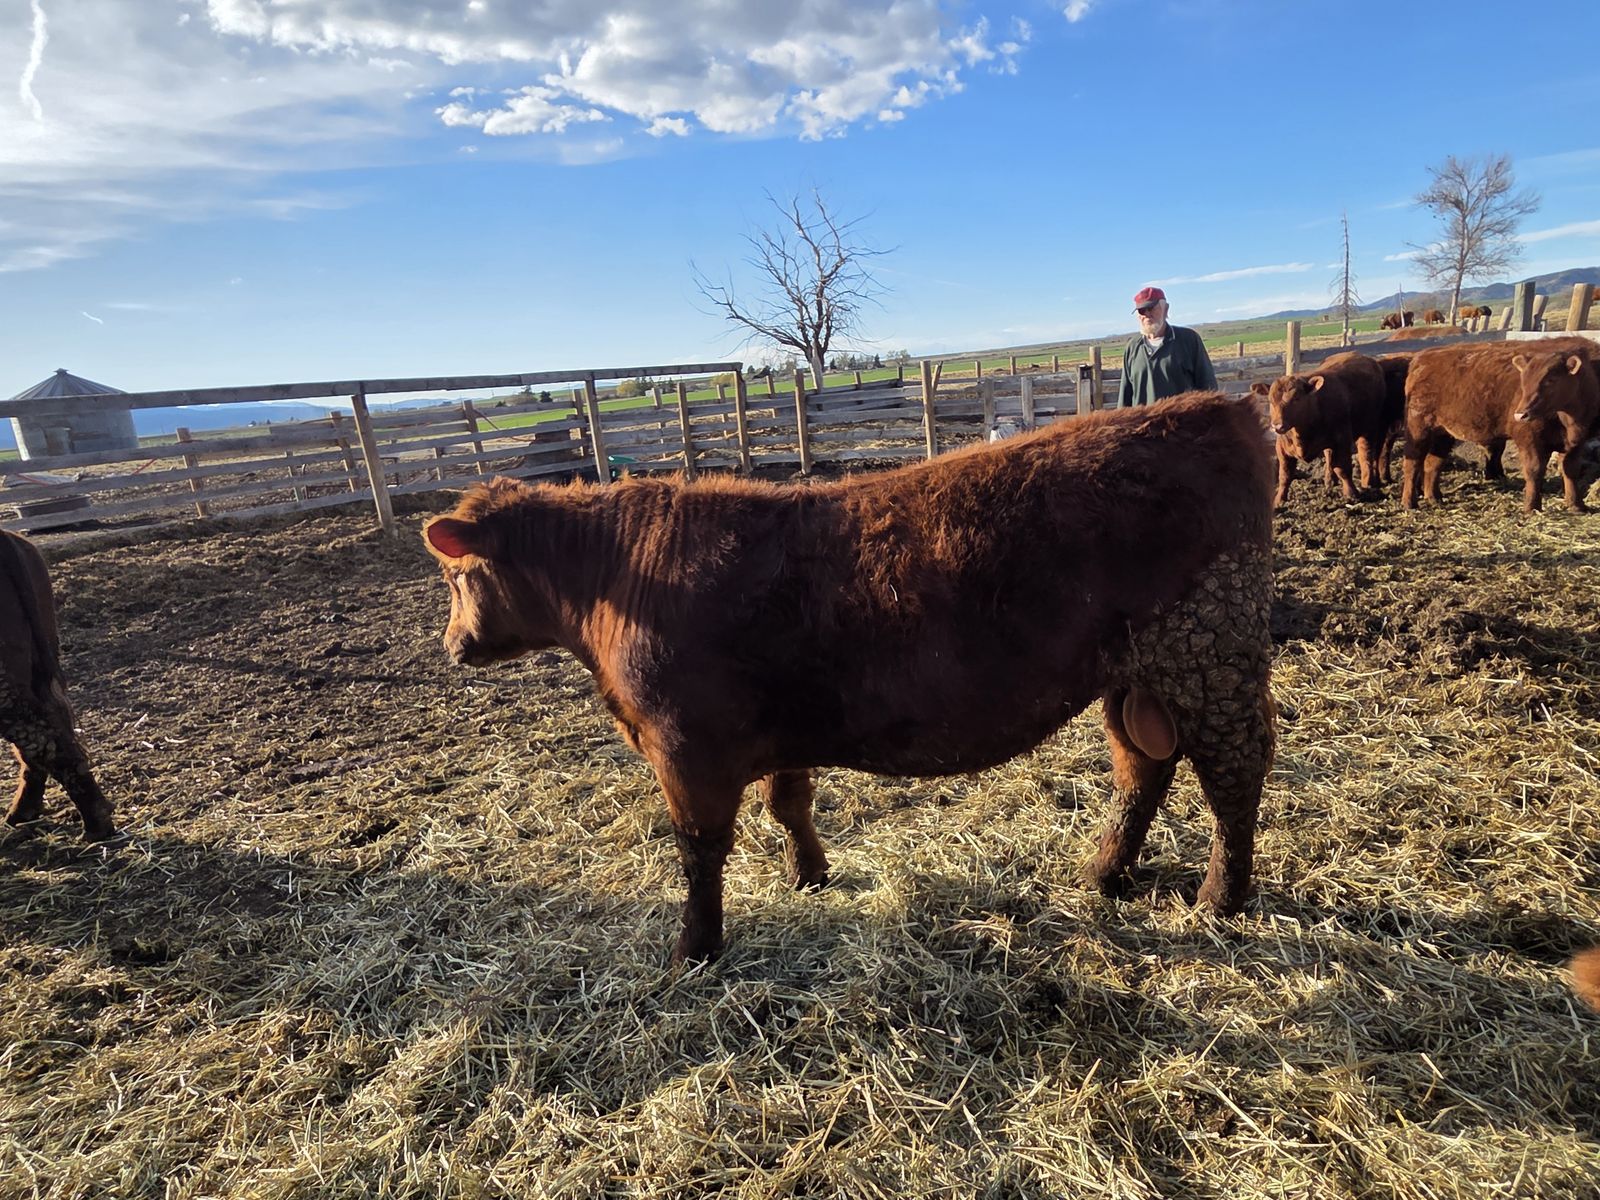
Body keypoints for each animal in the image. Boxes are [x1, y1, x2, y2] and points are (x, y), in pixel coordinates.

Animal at [424, 393, 1278, 963]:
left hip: (1210, 651)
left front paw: (695, 948)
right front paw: (810, 875)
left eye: (458, 576)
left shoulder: (686, 748)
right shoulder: (774, 735)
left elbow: (699, 850)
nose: (452, 646)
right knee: (1144, 769)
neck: (620, 582)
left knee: (1234, 773)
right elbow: (789, 806)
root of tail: (1217, 405)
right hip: (1136, 676)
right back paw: (1103, 873)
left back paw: (1219, 899)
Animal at [1261, 352, 1390, 507]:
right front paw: (1279, 500)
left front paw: (1351, 494)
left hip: (1369, 428)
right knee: (1329, 456)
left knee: (1366, 454)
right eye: (1271, 401)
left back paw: (1368, 482)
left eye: (1296, 398)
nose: (1277, 426)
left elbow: (1343, 469)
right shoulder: (1282, 448)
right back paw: (1329, 481)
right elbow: (1284, 475)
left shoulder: (1342, 440)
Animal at [1400, 337, 1600, 512]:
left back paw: (1434, 498)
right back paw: (1409, 503)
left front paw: (1576, 505)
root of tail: (1422, 357)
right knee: (1412, 463)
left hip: (1443, 434)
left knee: (1433, 464)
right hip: (1419, 429)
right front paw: (1531, 507)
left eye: (1551, 380)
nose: (1520, 414)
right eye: (1523, 380)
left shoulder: (1575, 443)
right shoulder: (1529, 439)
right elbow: (1534, 471)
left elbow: (1570, 470)